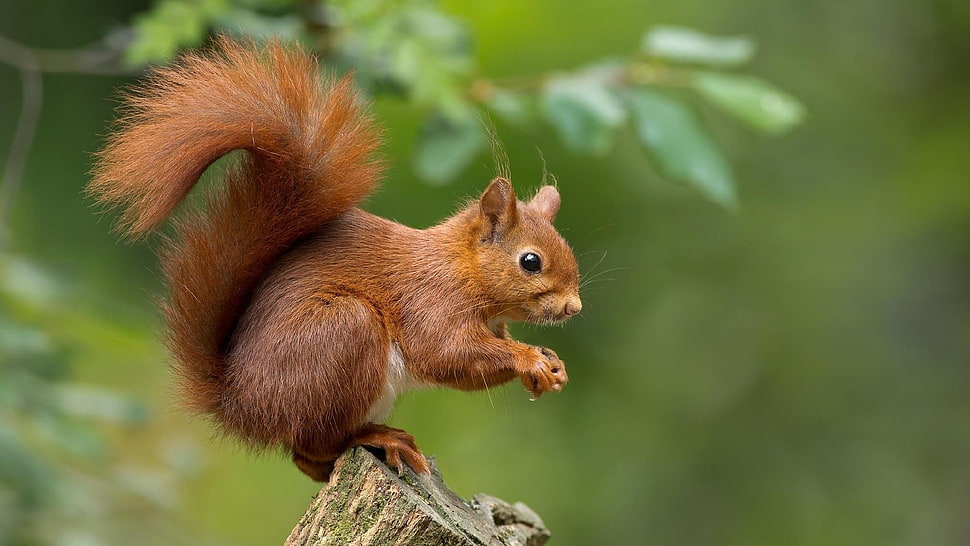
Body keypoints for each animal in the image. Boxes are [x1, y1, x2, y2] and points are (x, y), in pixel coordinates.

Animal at [88, 37, 582, 482]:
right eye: (531, 261)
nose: (574, 307)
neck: (462, 269)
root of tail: (240, 405)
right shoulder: (430, 300)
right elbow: (447, 353)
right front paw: (530, 359)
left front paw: (550, 365)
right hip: (344, 334)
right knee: (312, 445)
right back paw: (376, 437)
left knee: (306, 460)